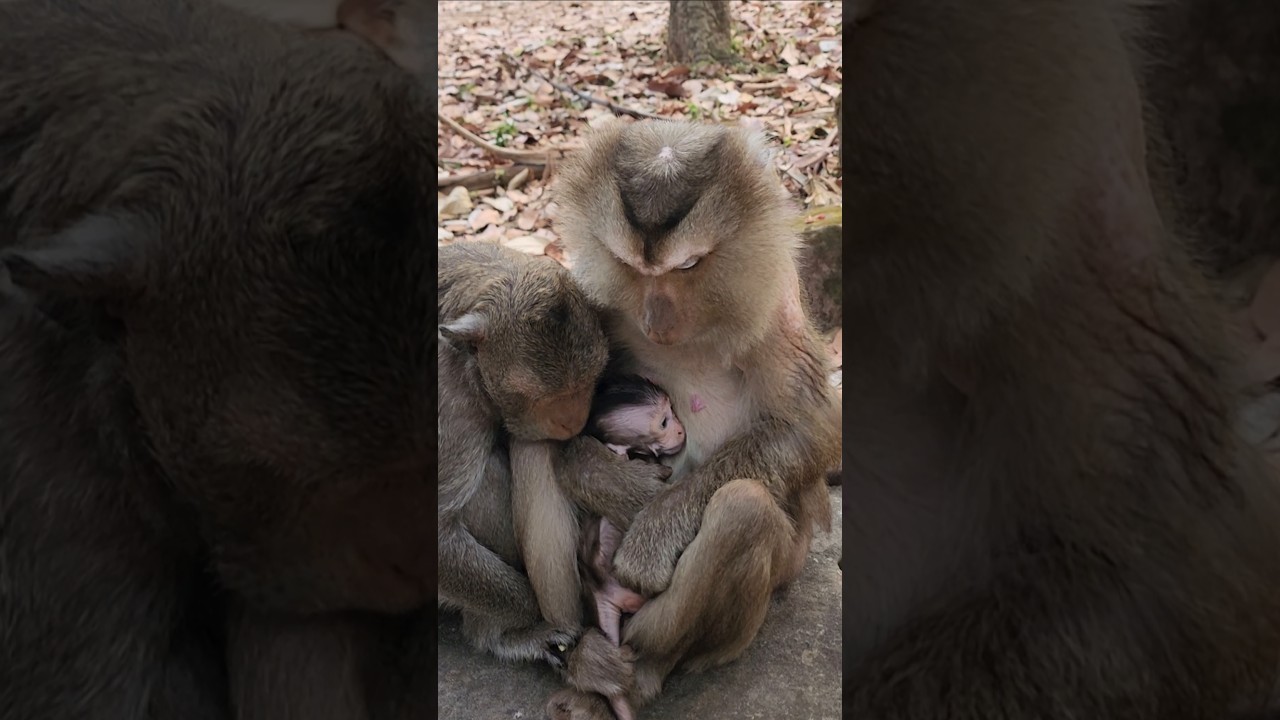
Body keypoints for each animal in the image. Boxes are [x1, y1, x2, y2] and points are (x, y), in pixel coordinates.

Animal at [539, 118, 843, 718]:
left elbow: (807, 429)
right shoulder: (595, 305)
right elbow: (565, 431)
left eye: (688, 266)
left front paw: (655, 527)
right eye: (631, 267)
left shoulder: (773, 308)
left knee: (744, 510)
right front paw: (619, 485)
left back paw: (641, 670)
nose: (656, 321)